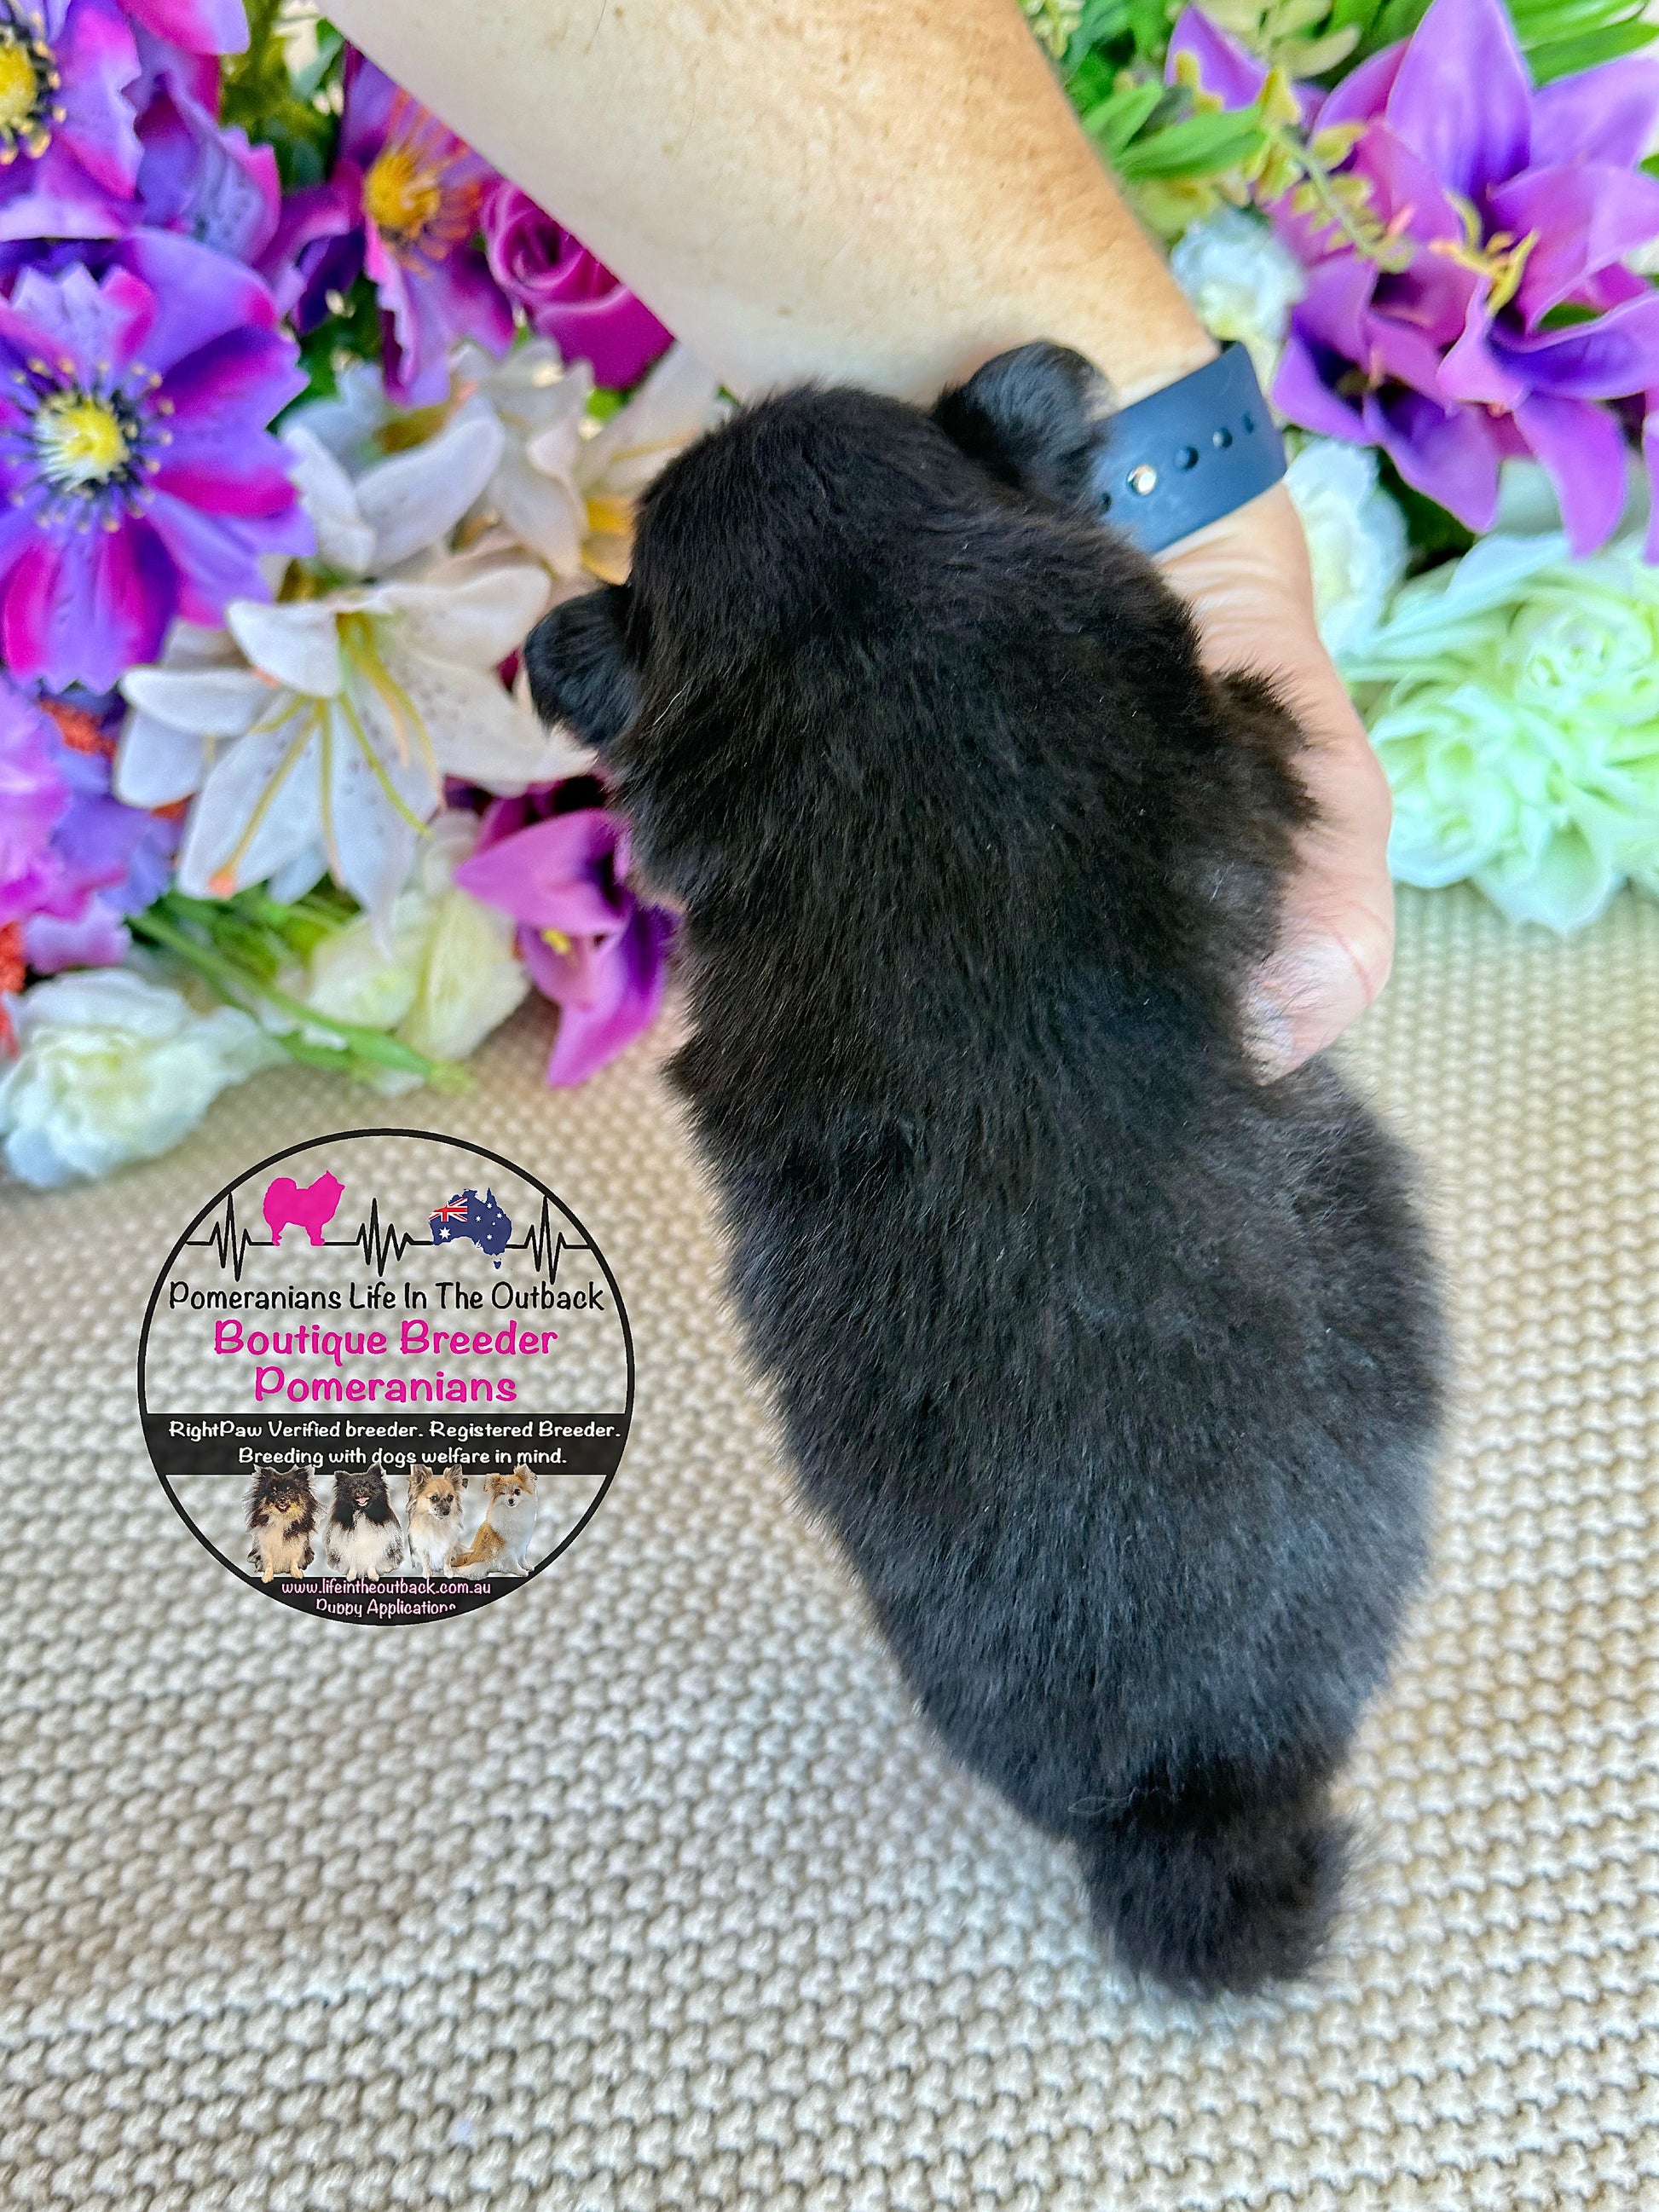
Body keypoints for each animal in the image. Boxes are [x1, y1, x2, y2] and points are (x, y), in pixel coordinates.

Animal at [245, 1462, 318, 1581]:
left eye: (290, 1492)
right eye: (274, 1493)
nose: (282, 1499)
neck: (282, 1516)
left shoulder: (297, 1543)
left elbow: (294, 1560)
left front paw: (296, 1573)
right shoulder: (266, 1543)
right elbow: (269, 1561)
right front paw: (267, 1576)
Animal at [323, 1463, 405, 1579]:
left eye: (368, 1486)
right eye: (352, 1488)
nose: (360, 1490)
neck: (362, 1512)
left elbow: (371, 1564)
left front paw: (373, 1576)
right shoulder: (350, 1546)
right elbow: (353, 1565)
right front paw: (351, 1576)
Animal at [404, 1463, 465, 1577]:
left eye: (450, 1498)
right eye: (434, 1498)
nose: (447, 1511)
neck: (437, 1524)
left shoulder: (448, 1545)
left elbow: (446, 1559)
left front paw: (448, 1571)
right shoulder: (422, 1547)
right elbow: (426, 1560)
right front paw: (427, 1572)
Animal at [453, 1464, 538, 1576]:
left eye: (517, 1491)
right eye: (503, 1493)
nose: (511, 1500)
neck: (513, 1512)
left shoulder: (522, 1543)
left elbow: (522, 1557)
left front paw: (526, 1566)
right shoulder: (508, 1547)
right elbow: (513, 1561)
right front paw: (520, 1571)